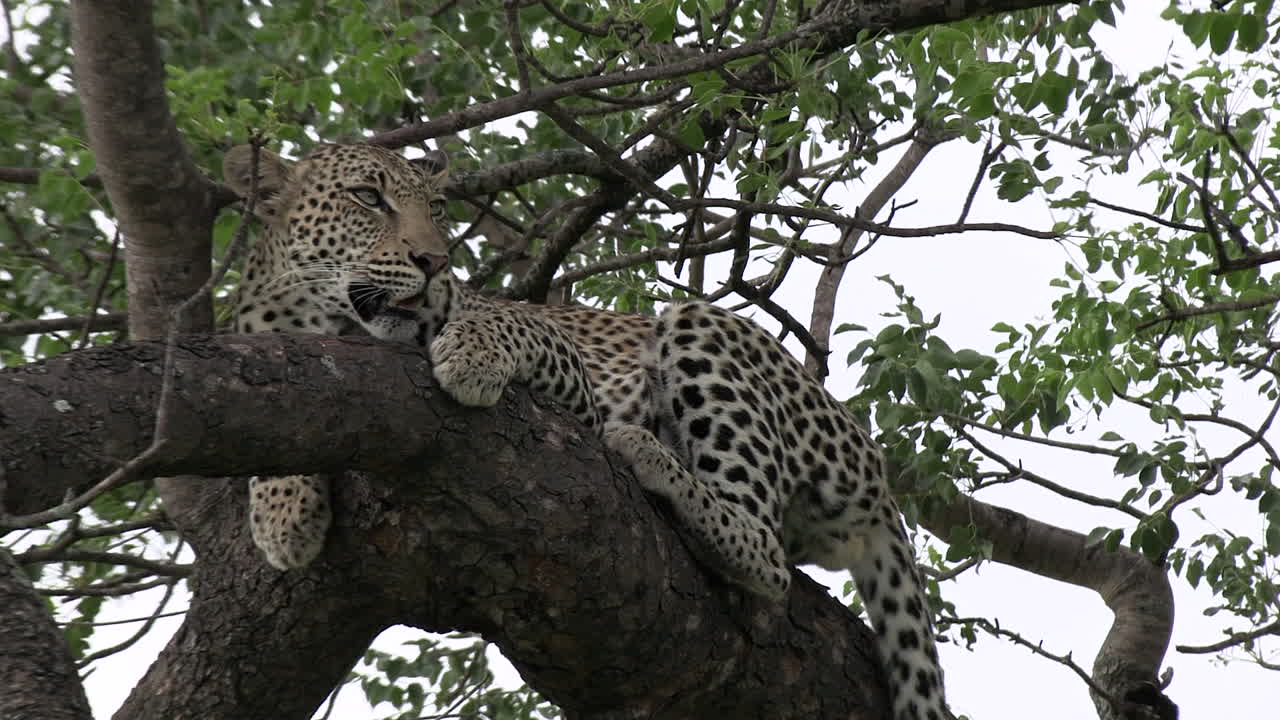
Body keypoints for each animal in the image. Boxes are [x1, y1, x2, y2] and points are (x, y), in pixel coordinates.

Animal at [223, 142, 949, 720]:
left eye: (438, 211)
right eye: (367, 199)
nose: (433, 261)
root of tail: (878, 478)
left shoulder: (566, 370)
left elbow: (498, 320)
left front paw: (469, 354)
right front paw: (284, 514)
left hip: (703, 326)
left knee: (767, 555)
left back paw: (647, 455)